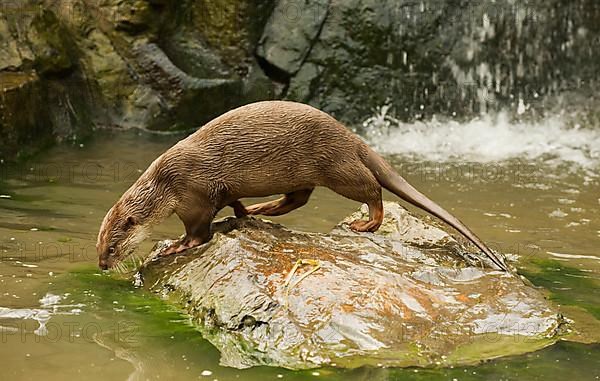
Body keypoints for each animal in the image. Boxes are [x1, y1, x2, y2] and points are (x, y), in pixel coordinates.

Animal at [96, 101, 508, 270]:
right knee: (296, 199)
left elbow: (198, 234)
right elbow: (231, 203)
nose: (102, 265)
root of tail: (349, 134)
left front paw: (173, 247)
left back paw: (366, 223)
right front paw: (242, 212)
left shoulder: (194, 196)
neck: (166, 183)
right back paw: (261, 209)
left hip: (337, 167)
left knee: (372, 190)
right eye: (100, 246)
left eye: (113, 246)